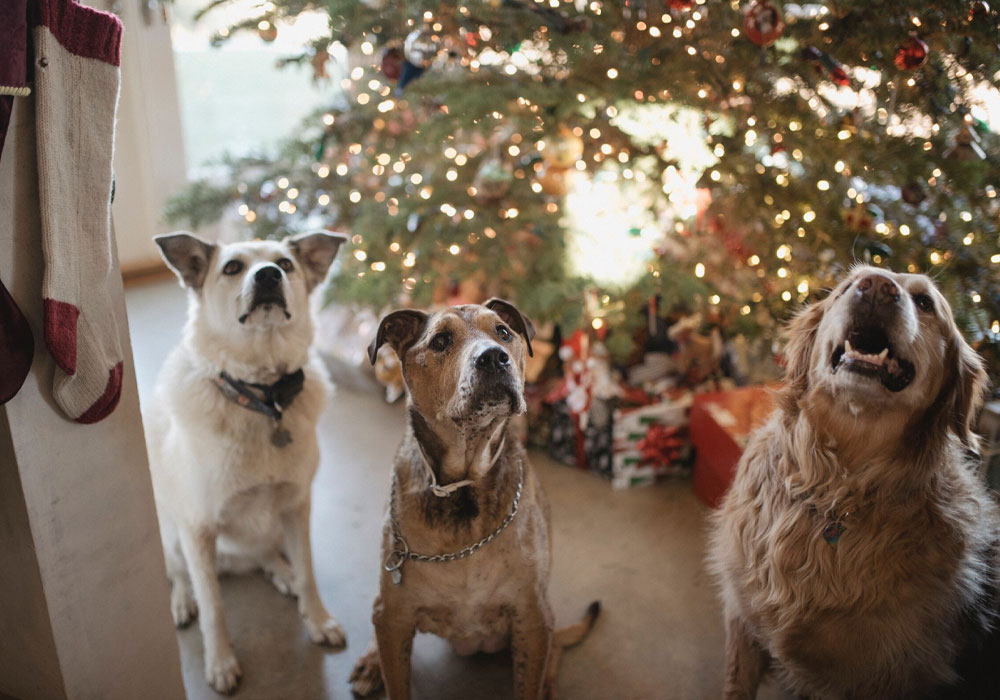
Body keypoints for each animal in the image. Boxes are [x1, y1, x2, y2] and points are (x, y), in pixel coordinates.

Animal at [146, 231, 350, 696]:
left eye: (285, 264)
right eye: (233, 267)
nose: (269, 275)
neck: (263, 397)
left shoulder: (296, 507)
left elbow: (308, 572)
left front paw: (318, 619)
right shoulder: (197, 528)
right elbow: (213, 606)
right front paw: (221, 662)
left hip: (272, 527)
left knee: (266, 554)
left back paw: (282, 573)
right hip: (172, 533)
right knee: (179, 574)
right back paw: (181, 601)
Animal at [348, 300, 596, 700]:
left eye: (503, 332)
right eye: (440, 341)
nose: (494, 358)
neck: (463, 489)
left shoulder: (532, 617)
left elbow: (530, 678)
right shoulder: (395, 617)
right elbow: (396, 678)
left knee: (556, 648)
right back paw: (370, 664)